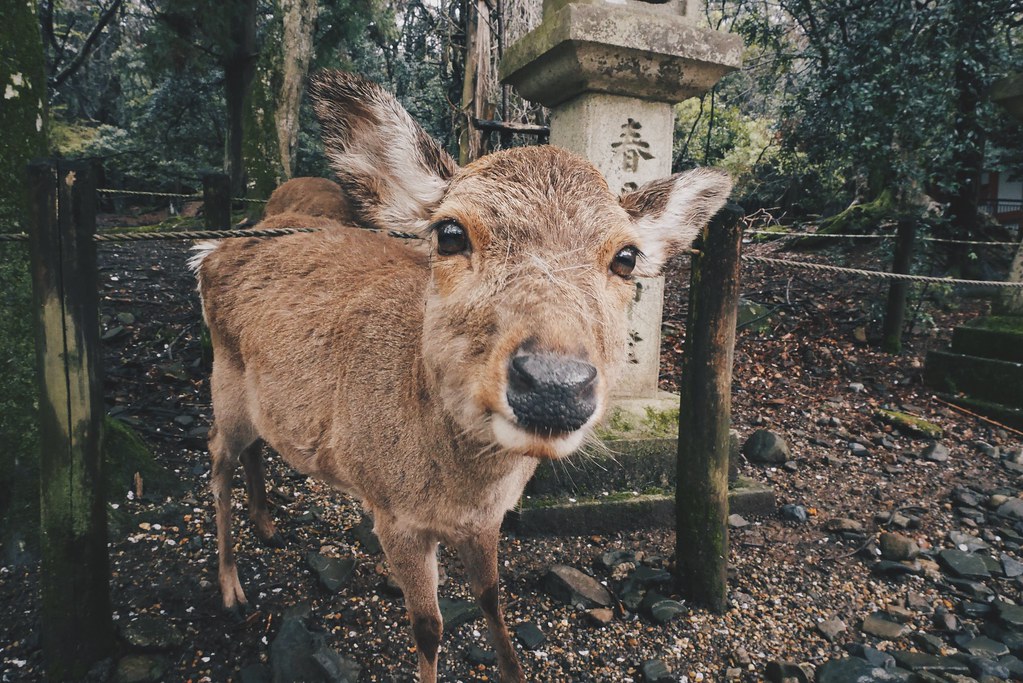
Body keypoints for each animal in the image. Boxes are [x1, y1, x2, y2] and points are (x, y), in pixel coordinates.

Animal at [192, 72, 732, 678]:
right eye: (450, 233)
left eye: (627, 257)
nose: (554, 384)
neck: (457, 489)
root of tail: (209, 249)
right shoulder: (391, 512)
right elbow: (428, 627)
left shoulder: (489, 518)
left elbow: (492, 599)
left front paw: (513, 667)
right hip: (223, 378)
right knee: (215, 456)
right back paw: (232, 588)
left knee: (256, 444)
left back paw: (266, 525)